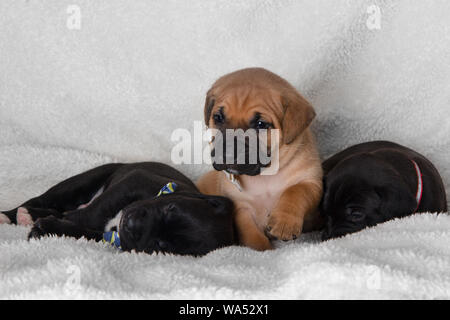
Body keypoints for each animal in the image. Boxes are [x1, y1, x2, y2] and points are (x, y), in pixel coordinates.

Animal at [0, 162, 236, 255]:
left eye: (162, 244)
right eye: (170, 208)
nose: (133, 223)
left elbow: (84, 230)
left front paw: (48, 227)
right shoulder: (134, 181)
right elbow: (94, 212)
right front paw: (68, 218)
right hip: (82, 181)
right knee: (44, 199)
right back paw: (13, 215)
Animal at [197, 67, 324, 250]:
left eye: (261, 124)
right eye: (218, 118)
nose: (229, 153)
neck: (265, 175)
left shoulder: (310, 181)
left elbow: (296, 191)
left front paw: (284, 222)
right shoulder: (241, 207)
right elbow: (251, 235)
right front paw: (262, 250)